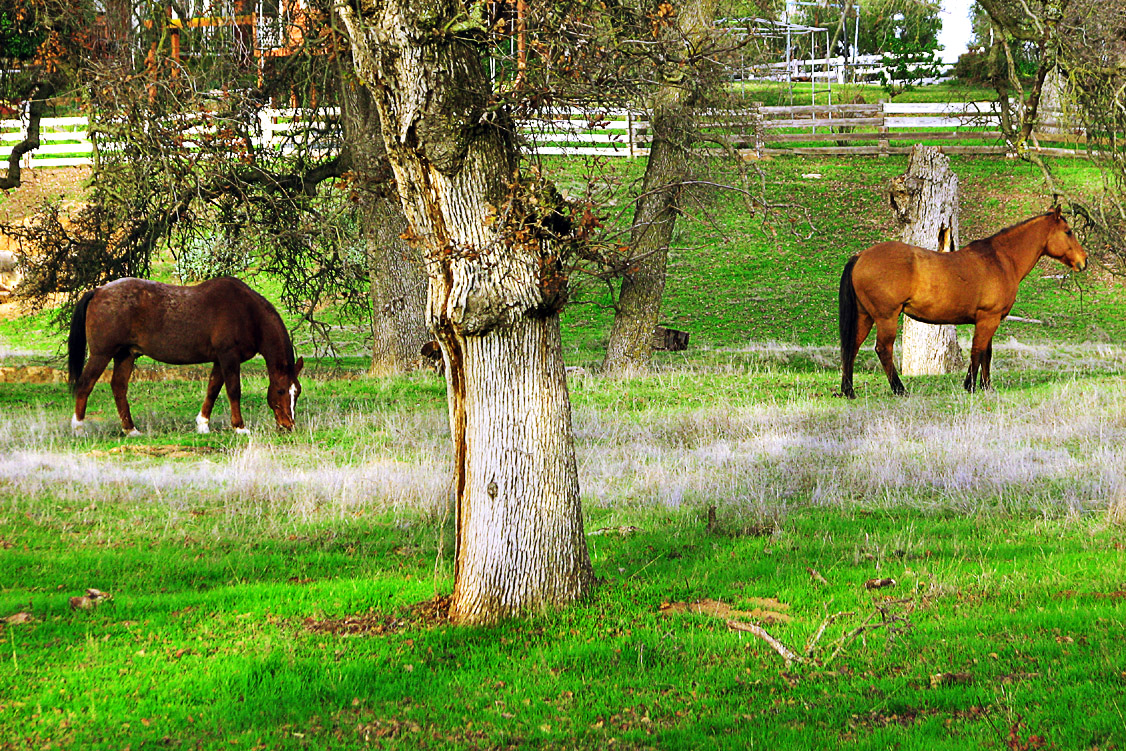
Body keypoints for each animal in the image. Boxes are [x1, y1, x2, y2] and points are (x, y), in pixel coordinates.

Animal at [70, 279, 304, 436]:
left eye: (297, 392)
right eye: (280, 390)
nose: (288, 425)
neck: (247, 313)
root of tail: (98, 291)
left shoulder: (219, 359)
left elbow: (213, 389)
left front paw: (203, 424)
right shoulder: (229, 356)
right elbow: (233, 390)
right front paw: (239, 427)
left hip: (125, 354)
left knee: (119, 388)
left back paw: (131, 430)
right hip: (101, 354)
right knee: (85, 385)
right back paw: (79, 428)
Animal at [842, 208, 1085, 398]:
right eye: (1068, 231)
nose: (1084, 261)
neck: (1000, 260)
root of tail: (861, 256)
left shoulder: (990, 320)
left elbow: (987, 352)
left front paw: (986, 387)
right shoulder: (988, 318)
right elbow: (978, 350)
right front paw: (971, 386)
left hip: (865, 316)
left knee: (852, 347)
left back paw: (849, 390)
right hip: (886, 317)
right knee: (883, 349)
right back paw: (899, 389)